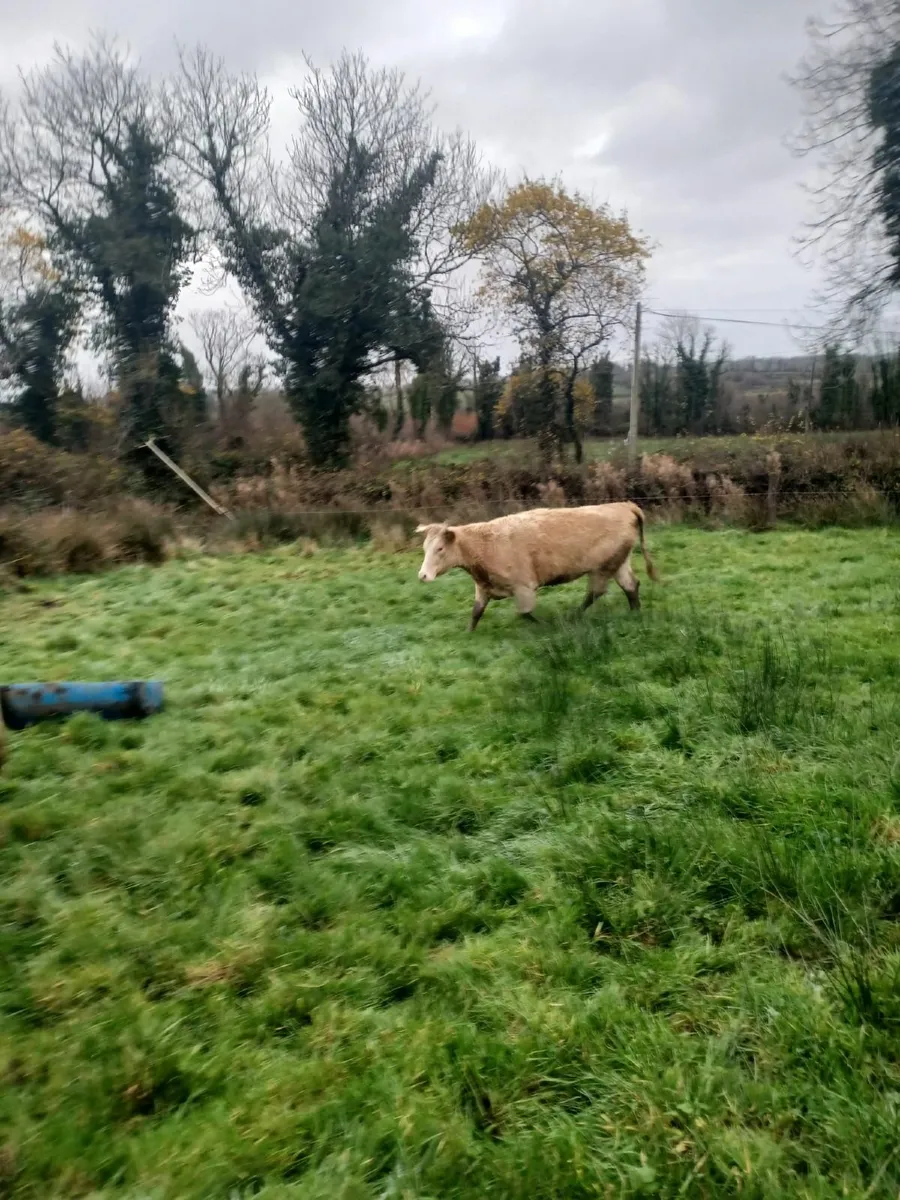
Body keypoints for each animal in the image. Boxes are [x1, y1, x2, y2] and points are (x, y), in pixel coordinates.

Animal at [416, 502, 659, 631]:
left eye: (440, 548)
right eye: (425, 547)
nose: (423, 575)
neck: (483, 545)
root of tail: (623, 505)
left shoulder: (523, 587)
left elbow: (525, 613)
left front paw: (544, 624)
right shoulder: (483, 588)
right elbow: (476, 612)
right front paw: (468, 632)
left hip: (603, 567)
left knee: (595, 592)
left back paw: (574, 615)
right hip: (619, 562)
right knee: (630, 585)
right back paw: (635, 612)